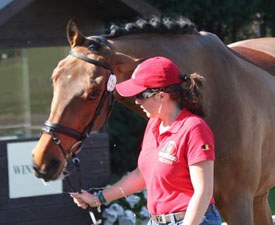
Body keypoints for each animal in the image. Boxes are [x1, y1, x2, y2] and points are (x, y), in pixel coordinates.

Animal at [31, 17, 275, 225]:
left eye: (93, 92)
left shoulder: (238, 204)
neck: (215, 96)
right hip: (260, 197)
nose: (43, 161)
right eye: (54, 78)